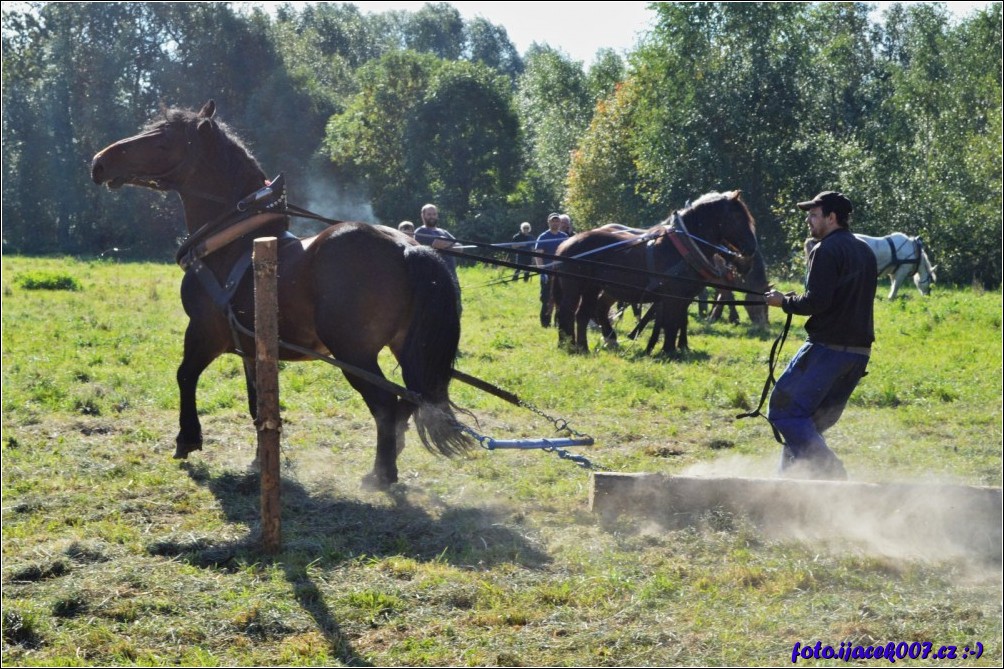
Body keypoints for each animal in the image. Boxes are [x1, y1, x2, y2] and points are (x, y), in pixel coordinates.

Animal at [93, 100, 469, 484]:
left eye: (163, 140)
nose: (100, 162)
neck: (233, 240)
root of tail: (407, 247)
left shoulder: (204, 330)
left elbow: (185, 375)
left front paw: (188, 438)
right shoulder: (251, 346)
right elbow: (256, 403)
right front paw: (261, 460)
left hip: (354, 353)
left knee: (385, 405)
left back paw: (382, 474)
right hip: (406, 347)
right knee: (414, 398)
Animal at [554, 188, 755, 353]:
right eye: (738, 217)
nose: (751, 248)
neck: (684, 247)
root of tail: (565, 244)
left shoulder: (683, 297)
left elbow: (677, 320)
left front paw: (674, 348)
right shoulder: (673, 296)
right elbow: (671, 322)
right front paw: (668, 351)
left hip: (592, 287)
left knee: (583, 314)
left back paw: (584, 347)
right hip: (575, 286)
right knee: (567, 312)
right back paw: (570, 346)